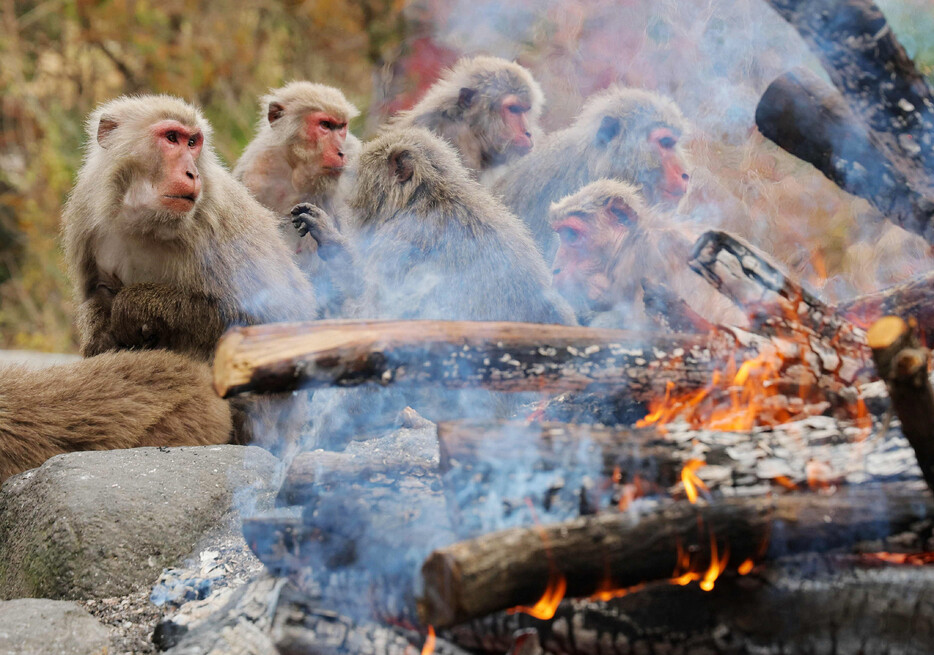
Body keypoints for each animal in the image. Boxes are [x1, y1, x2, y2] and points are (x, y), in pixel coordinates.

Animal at [63, 94, 318, 362]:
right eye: (172, 138)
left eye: (192, 142)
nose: (193, 174)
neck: (145, 222)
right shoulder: (85, 216)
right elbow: (97, 296)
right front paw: (104, 332)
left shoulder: (219, 224)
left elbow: (273, 316)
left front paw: (133, 304)